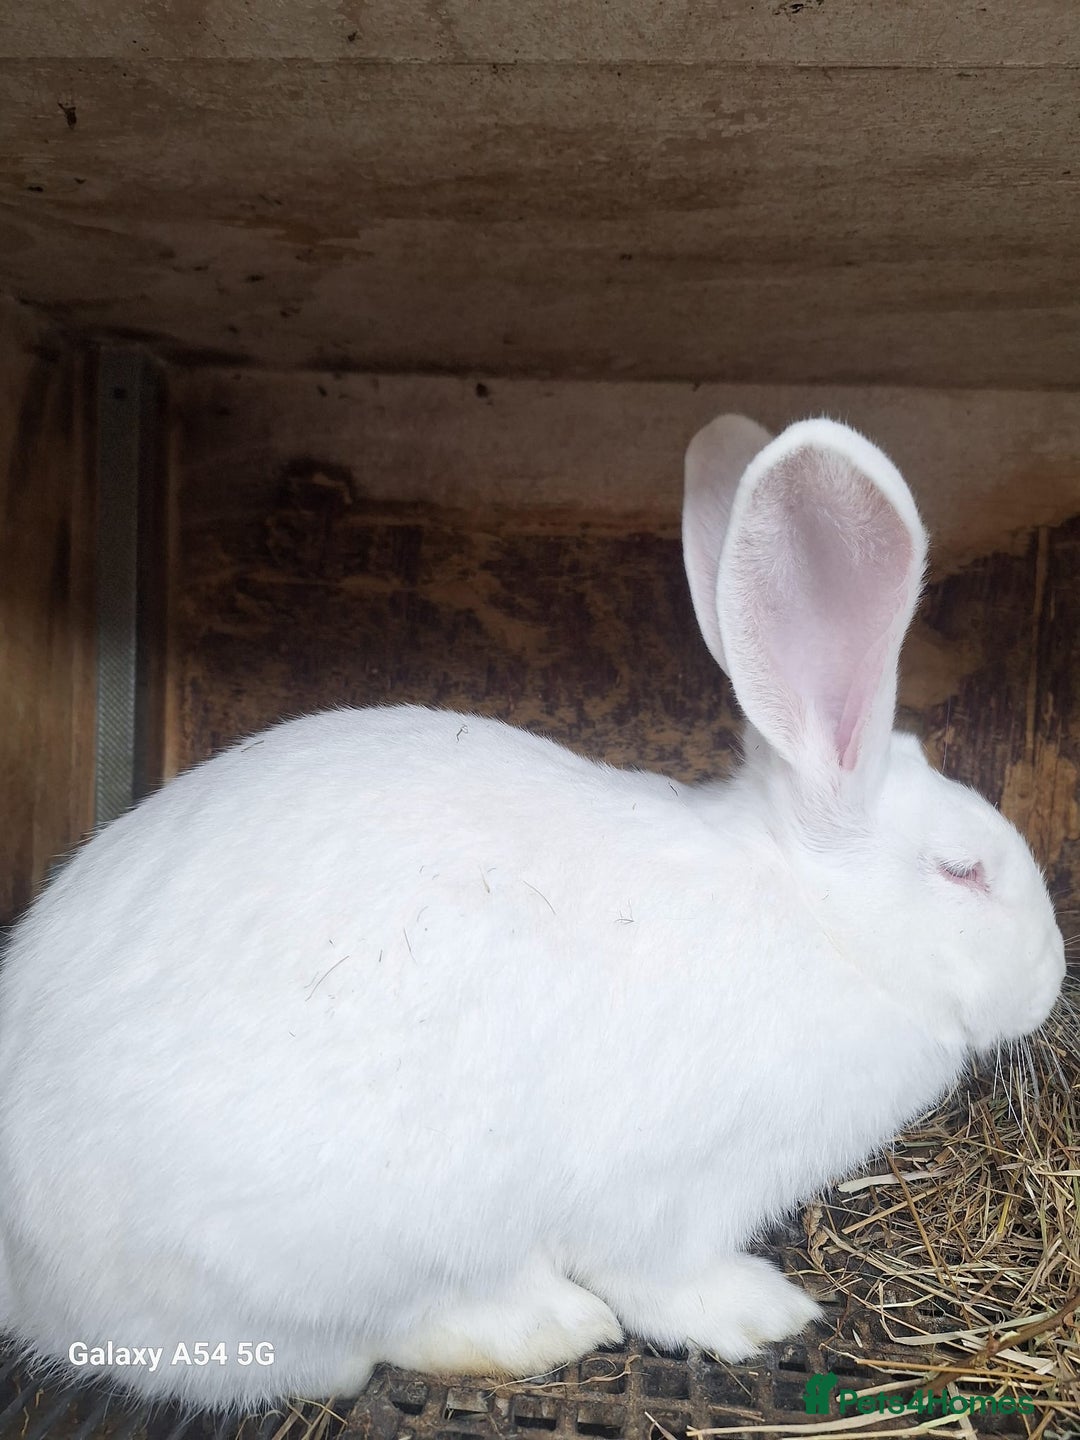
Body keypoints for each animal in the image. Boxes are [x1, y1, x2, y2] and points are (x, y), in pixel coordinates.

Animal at [0, 416, 1064, 1410]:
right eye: (964, 872)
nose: (1053, 975)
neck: (820, 922)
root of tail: (28, 1278)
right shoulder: (671, 1193)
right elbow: (662, 1278)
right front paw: (761, 1312)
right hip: (327, 1250)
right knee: (344, 1350)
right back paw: (544, 1326)